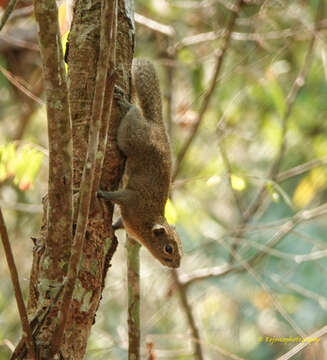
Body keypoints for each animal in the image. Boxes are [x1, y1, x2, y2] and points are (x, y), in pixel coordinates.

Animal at [98, 58, 183, 268]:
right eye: (168, 248)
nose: (176, 265)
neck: (145, 223)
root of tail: (157, 126)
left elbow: (119, 223)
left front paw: (112, 227)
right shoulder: (132, 199)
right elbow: (118, 196)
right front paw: (102, 193)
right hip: (130, 135)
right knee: (134, 113)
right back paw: (126, 104)